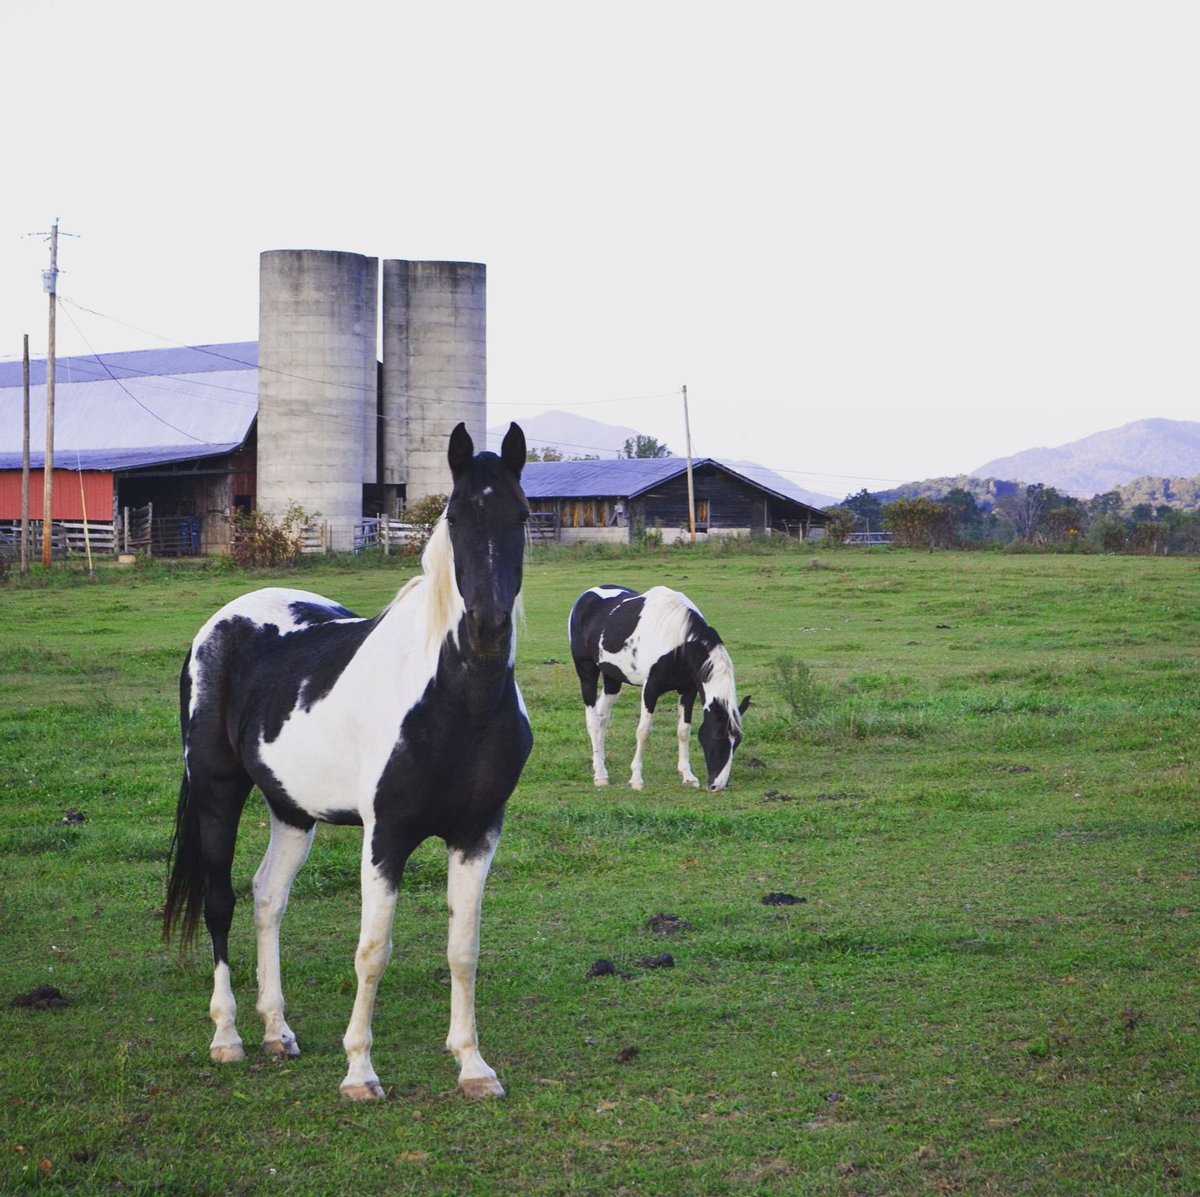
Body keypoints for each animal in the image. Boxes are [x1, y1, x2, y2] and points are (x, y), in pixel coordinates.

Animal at [165, 426, 535, 1098]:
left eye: (520, 515)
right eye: (453, 515)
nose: (488, 625)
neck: (454, 701)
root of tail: (222, 623)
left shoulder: (478, 833)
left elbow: (463, 949)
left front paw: (472, 1066)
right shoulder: (385, 836)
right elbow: (373, 950)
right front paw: (360, 1070)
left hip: (290, 809)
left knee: (267, 897)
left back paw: (276, 1031)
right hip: (216, 790)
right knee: (220, 900)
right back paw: (228, 1036)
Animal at [566, 585, 744, 791]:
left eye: (737, 742)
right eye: (717, 737)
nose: (718, 785)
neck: (679, 642)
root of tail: (586, 595)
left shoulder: (688, 691)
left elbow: (684, 731)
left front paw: (688, 776)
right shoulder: (650, 690)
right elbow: (643, 732)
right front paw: (636, 779)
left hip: (612, 679)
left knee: (603, 717)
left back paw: (600, 764)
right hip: (586, 671)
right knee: (593, 721)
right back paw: (600, 775)